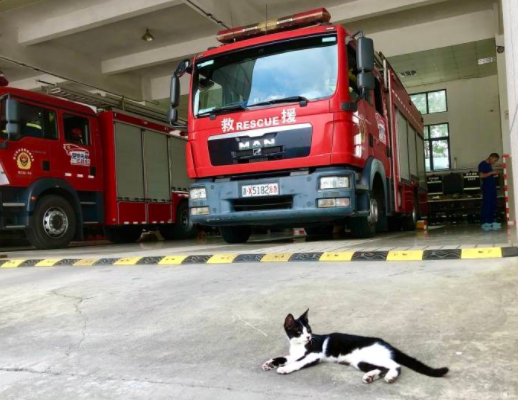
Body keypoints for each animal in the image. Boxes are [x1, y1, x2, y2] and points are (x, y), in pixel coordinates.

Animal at [262, 310, 449, 384]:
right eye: (298, 331)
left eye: (309, 330)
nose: (308, 337)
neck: (299, 346)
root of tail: (386, 344)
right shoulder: (293, 353)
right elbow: (284, 357)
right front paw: (270, 363)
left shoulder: (314, 354)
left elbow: (298, 362)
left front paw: (285, 369)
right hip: (360, 361)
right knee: (381, 368)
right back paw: (371, 376)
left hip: (371, 355)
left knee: (395, 365)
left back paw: (390, 377)